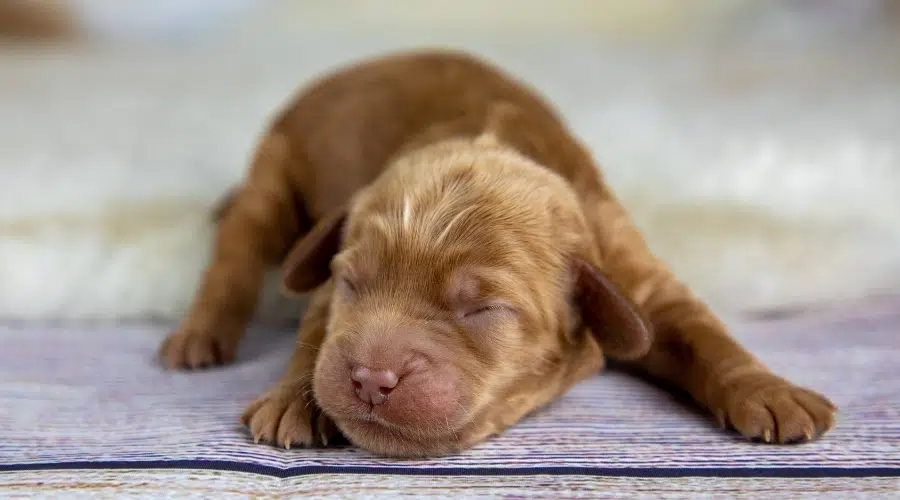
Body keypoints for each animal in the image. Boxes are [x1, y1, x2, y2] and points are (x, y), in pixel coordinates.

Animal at [156, 49, 836, 458]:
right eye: (353, 284)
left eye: (481, 311)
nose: (371, 378)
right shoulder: (327, 282)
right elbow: (315, 332)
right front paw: (294, 400)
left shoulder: (633, 272)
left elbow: (702, 333)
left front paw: (771, 390)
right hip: (276, 163)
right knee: (236, 250)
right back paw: (198, 336)